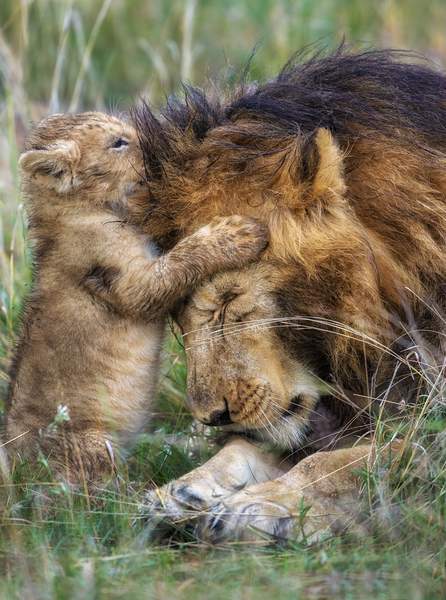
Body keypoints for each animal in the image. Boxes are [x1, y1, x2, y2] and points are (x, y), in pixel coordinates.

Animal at [133, 49, 446, 540]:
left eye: (227, 301)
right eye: (178, 320)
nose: (212, 417)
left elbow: (349, 462)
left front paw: (262, 506)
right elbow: (246, 447)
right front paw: (184, 493)